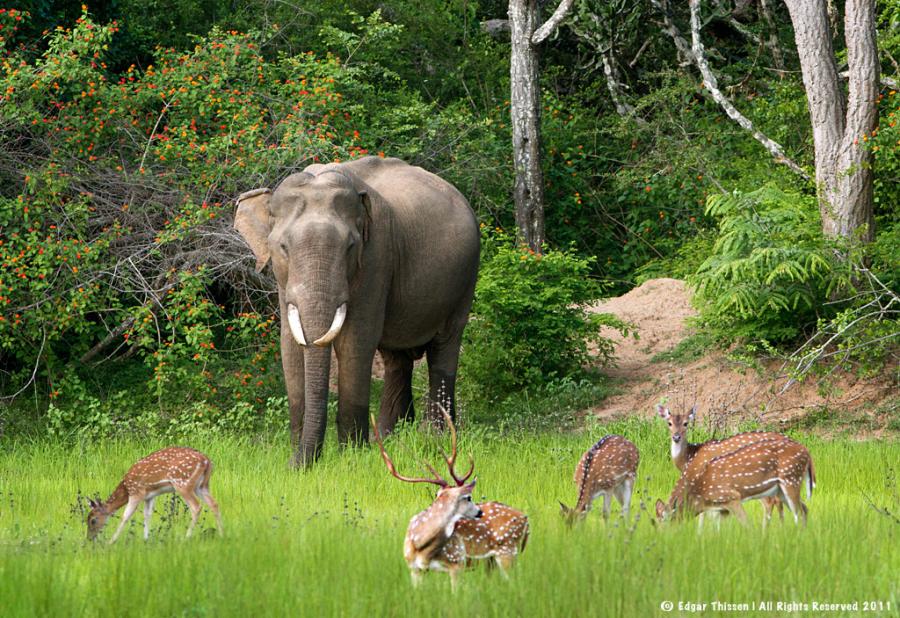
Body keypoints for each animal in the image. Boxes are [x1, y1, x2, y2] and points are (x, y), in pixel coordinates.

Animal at [86, 446, 223, 540]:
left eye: (93, 520)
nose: (89, 538)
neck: (126, 488)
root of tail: (207, 461)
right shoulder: (149, 496)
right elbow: (147, 515)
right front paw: (146, 539)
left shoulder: (136, 492)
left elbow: (125, 516)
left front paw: (111, 541)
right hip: (202, 486)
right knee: (214, 503)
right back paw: (222, 533)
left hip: (183, 483)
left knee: (196, 507)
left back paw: (187, 537)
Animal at [236, 156, 482, 464]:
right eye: (283, 247)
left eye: (350, 247)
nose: (295, 464)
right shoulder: (283, 280)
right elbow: (290, 345)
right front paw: (298, 452)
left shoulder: (376, 258)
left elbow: (355, 341)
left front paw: (351, 455)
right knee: (396, 359)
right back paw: (388, 438)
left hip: (465, 279)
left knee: (444, 348)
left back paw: (434, 438)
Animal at [370, 412, 528, 584]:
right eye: (468, 498)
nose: (479, 512)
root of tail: (526, 519)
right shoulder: (415, 569)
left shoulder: (457, 562)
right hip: (491, 561)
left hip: (507, 550)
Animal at [652, 436, 816, 528]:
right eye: (654, 523)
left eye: (664, 522)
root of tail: (807, 452)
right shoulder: (720, 509)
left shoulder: (732, 497)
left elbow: (747, 525)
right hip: (782, 489)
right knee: (805, 509)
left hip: (791, 479)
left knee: (799, 512)